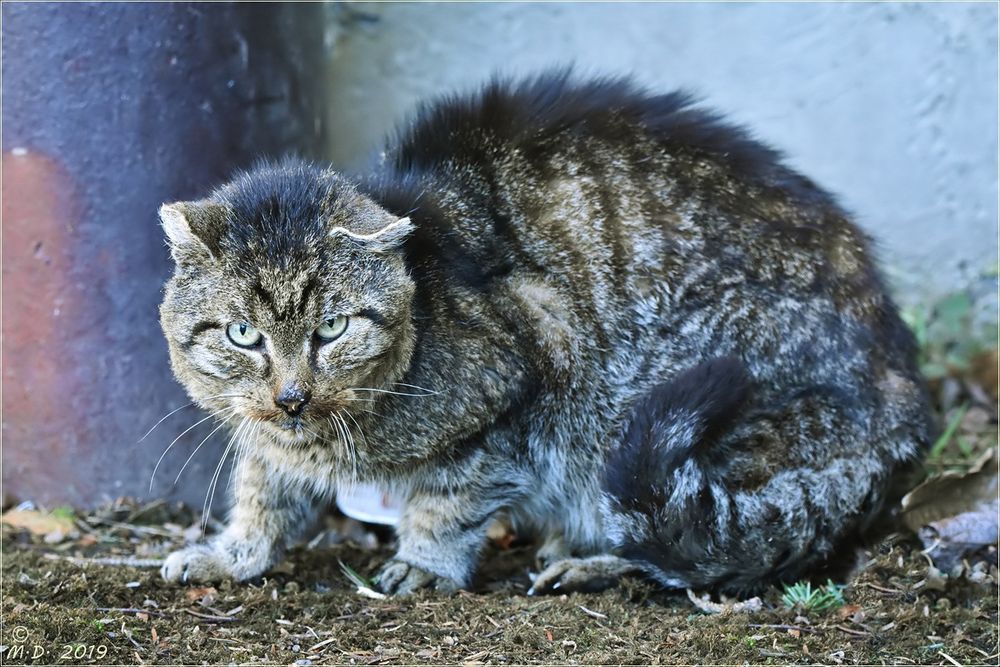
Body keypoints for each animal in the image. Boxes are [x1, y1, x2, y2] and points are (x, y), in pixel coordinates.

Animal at [156, 72, 928, 596]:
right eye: (243, 334)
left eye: (333, 328)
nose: (291, 395)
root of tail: (903, 390)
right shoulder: (263, 434)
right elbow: (261, 489)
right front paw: (235, 553)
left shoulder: (523, 368)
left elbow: (454, 495)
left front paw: (425, 560)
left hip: (656, 405)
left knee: (687, 540)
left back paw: (590, 559)